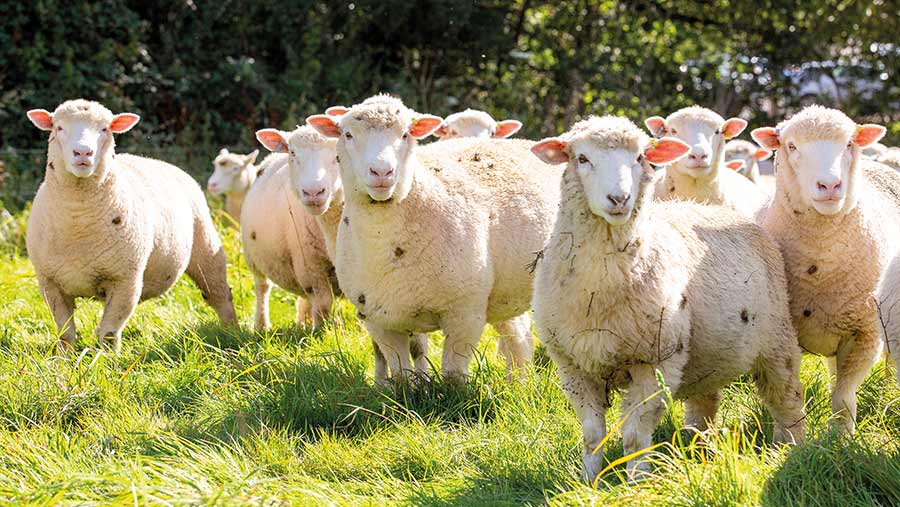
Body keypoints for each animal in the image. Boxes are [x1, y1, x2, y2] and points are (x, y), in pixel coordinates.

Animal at [26, 99, 239, 354]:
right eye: (59, 128)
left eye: (105, 129)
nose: (83, 152)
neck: (79, 224)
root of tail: (158, 161)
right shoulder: (50, 283)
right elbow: (65, 333)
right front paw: (63, 360)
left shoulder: (125, 280)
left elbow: (108, 333)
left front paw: (108, 360)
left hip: (206, 246)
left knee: (219, 294)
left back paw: (231, 333)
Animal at [241, 129, 336, 332]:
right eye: (292, 153)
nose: (313, 192)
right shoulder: (310, 264)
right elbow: (323, 304)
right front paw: (322, 333)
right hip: (254, 259)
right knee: (262, 288)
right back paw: (262, 326)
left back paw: (303, 322)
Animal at [308, 94, 564, 380]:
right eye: (348, 134)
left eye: (406, 134)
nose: (382, 172)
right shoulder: (378, 320)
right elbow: (401, 374)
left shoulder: (465, 313)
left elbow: (453, 375)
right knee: (517, 333)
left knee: (521, 337)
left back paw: (519, 381)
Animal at [532, 116, 804, 484]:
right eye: (582, 158)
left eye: (639, 158)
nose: (619, 198)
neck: (598, 292)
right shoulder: (573, 364)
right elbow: (592, 435)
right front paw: (588, 482)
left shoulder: (655, 361)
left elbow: (634, 437)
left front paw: (637, 483)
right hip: (707, 351)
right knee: (705, 402)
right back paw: (701, 450)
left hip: (777, 342)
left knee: (787, 399)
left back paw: (792, 449)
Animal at [752, 104, 900, 432]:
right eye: (791, 146)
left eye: (849, 143)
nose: (830, 185)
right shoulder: (781, 333)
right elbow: (789, 394)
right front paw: (787, 436)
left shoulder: (865, 333)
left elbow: (843, 398)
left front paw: (841, 437)